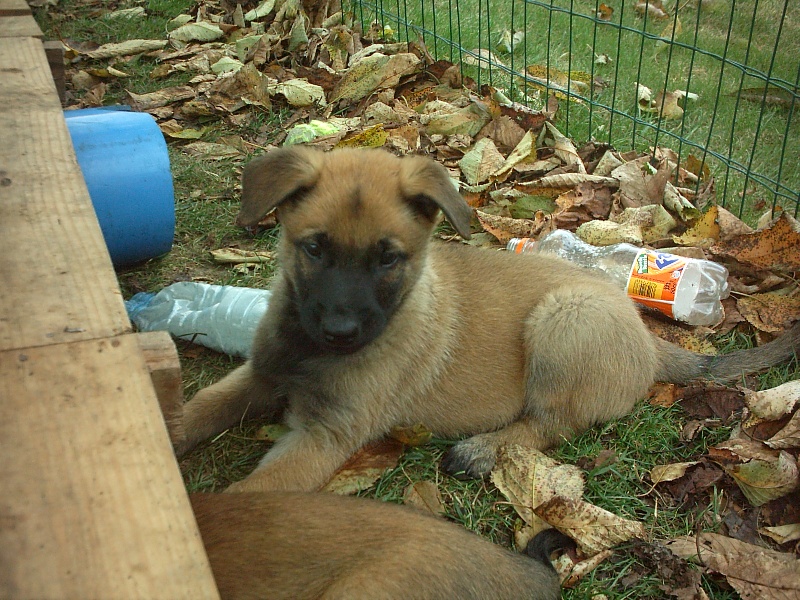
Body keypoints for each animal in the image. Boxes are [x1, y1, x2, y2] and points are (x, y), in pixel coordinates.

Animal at [181, 146, 800, 492]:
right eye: (313, 249)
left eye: (388, 259)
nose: (339, 334)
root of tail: (647, 338)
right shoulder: (261, 374)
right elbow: (199, 407)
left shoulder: (326, 435)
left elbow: (248, 496)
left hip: (564, 319)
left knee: (553, 425)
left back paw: (481, 449)